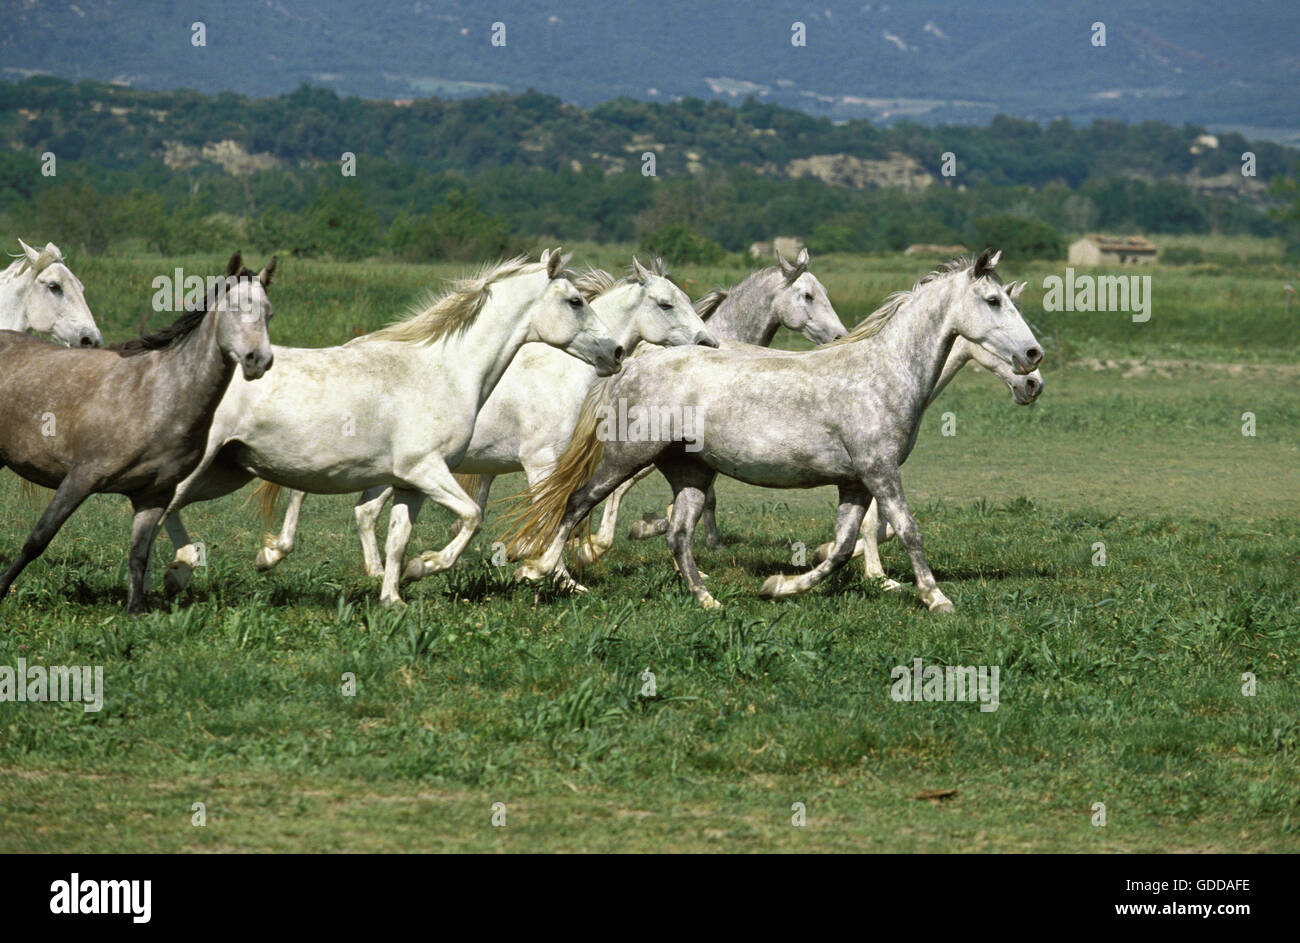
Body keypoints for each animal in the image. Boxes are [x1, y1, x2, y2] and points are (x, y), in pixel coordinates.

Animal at [0, 253, 274, 613]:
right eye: (235, 307)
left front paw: (135, 612)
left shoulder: (153, 494)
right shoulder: (80, 478)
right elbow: (37, 539)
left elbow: (139, 555)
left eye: (269, 313)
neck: (155, 394)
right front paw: (1, 589)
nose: (259, 360)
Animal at [159, 249, 626, 603]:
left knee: (170, 507)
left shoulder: (410, 482)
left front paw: (394, 596)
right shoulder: (427, 469)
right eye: (575, 302)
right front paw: (426, 566)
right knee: (162, 506)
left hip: (226, 472)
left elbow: (398, 538)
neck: (446, 371)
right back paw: (179, 572)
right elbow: (472, 516)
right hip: (203, 467)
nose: (616, 352)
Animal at [250, 256, 722, 580]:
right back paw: (276, 552)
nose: (707, 343)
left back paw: (377, 570)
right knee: (304, 492)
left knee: (363, 512)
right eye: (666, 304)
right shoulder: (539, 461)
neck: (560, 370)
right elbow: (552, 514)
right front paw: (551, 573)